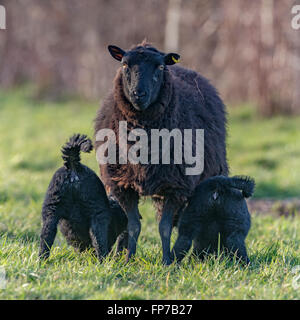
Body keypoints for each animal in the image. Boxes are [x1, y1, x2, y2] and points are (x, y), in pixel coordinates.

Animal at [38, 134, 126, 262]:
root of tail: (74, 167)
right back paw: (103, 262)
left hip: (50, 211)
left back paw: (41, 260)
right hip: (97, 214)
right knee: (98, 241)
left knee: (46, 237)